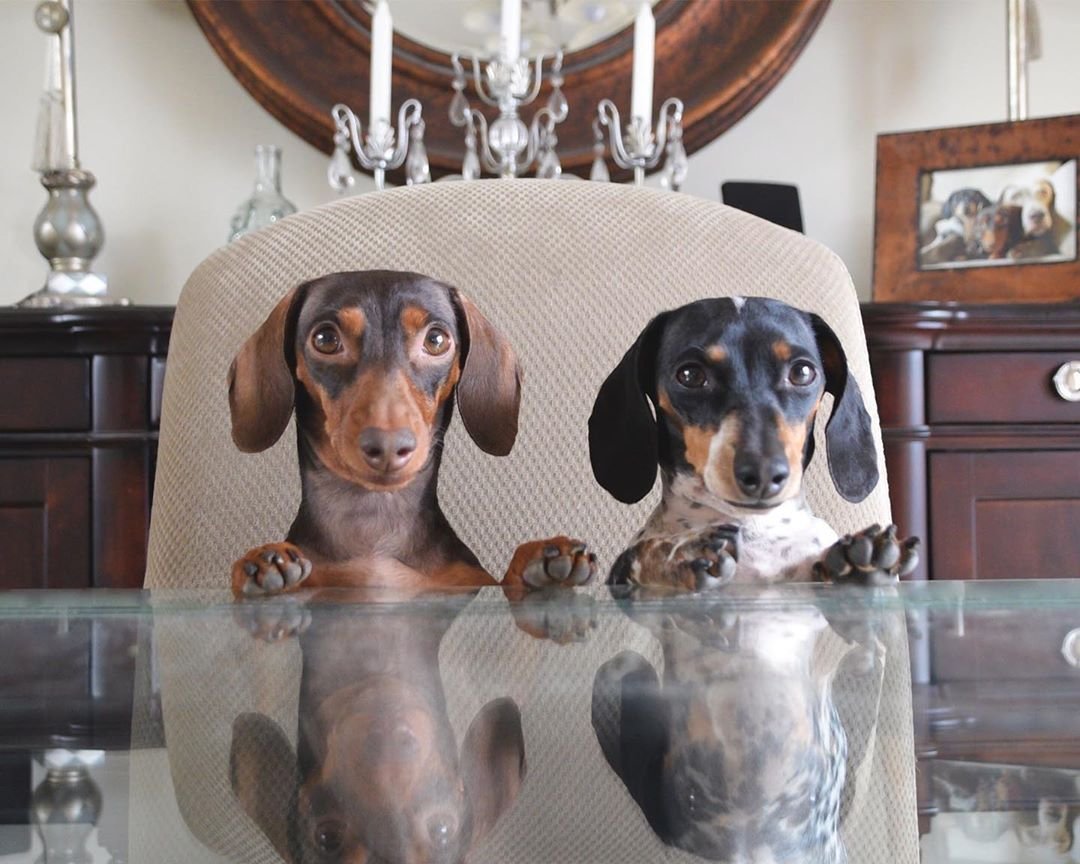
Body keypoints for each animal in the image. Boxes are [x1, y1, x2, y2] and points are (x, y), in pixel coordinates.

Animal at [586, 296, 917, 862]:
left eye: (803, 371)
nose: (763, 472)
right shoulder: (622, 573)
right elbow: (649, 555)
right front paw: (684, 555)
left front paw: (857, 558)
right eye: (690, 374)